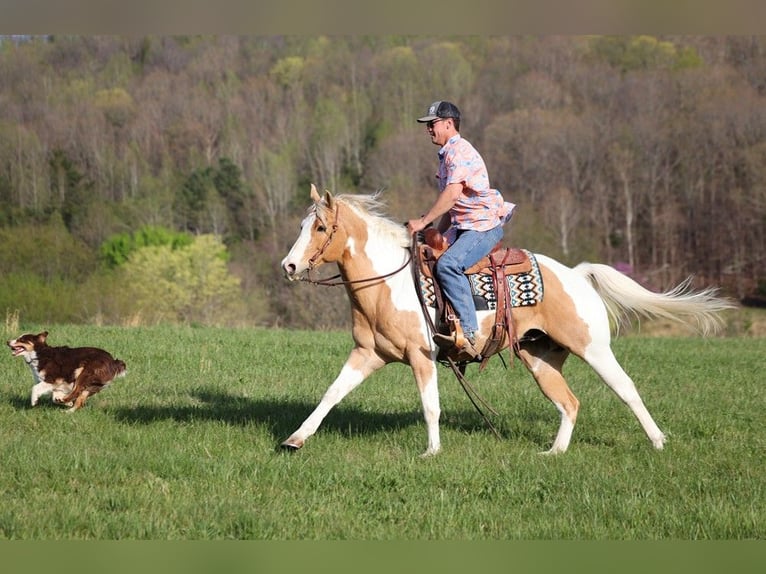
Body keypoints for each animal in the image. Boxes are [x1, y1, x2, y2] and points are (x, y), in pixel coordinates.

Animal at [280, 186, 736, 460]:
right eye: (301, 225)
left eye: (320, 226)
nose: (289, 266)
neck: (386, 283)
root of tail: (576, 274)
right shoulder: (366, 354)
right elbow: (331, 394)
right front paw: (295, 439)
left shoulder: (421, 356)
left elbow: (430, 405)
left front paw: (431, 452)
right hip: (540, 358)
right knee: (569, 403)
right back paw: (554, 453)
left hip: (594, 348)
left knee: (625, 388)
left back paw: (657, 441)